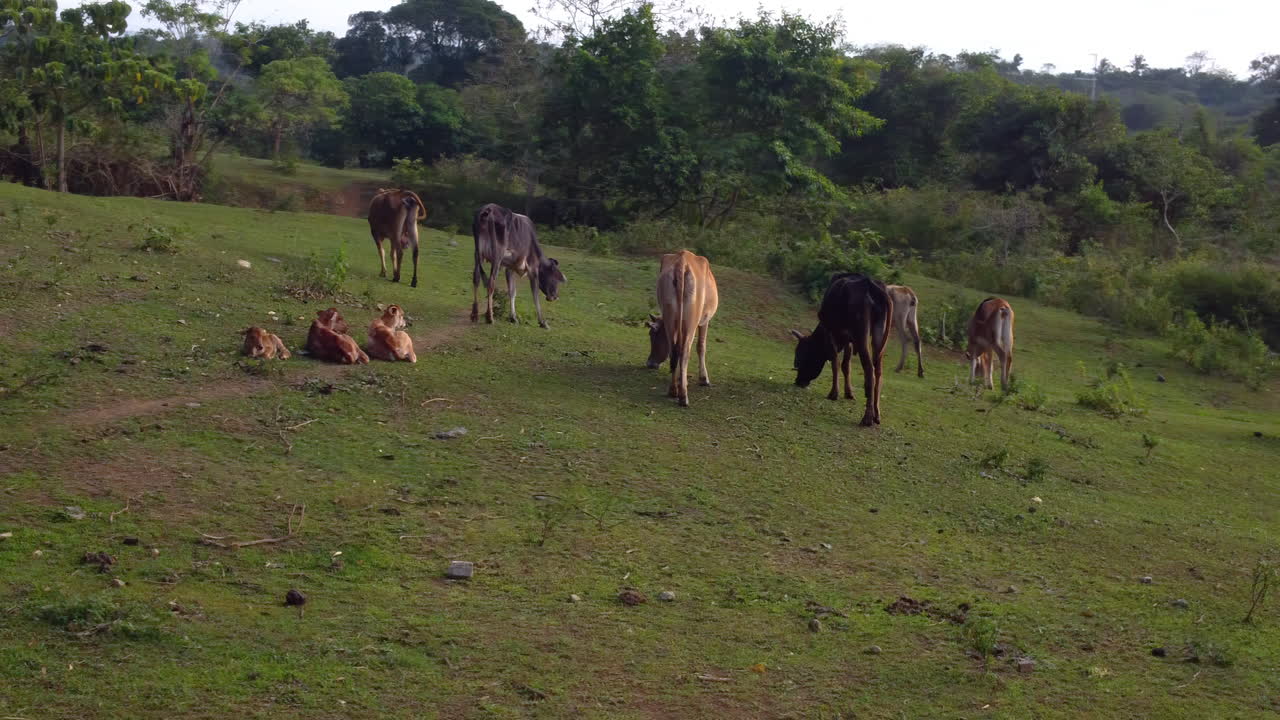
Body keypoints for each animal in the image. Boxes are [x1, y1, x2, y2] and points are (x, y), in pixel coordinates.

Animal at [643, 250, 719, 407]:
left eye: (653, 335)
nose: (650, 363)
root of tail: (682, 262)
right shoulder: (704, 321)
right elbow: (701, 346)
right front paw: (704, 379)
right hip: (692, 321)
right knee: (684, 351)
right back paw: (683, 395)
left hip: (669, 315)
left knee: (674, 350)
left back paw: (673, 390)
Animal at [791, 273, 893, 427]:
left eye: (799, 357)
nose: (798, 381)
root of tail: (869, 283)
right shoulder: (848, 339)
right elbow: (846, 365)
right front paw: (848, 393)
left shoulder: (831, 332)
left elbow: (835, 362)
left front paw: (834, 393)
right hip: (878, 336)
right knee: (879, 372)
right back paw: (876, 414)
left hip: (861, 335)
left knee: (869, 370)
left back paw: (867, 417)